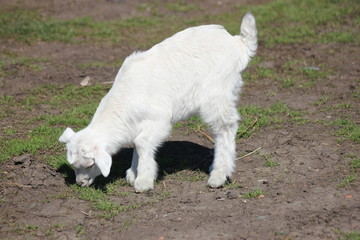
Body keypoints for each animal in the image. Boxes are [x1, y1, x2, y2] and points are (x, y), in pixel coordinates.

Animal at [58, 13, 256, 192]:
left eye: (90, 164)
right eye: (73, 165)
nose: (80, 183)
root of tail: (238, 43)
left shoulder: (159, 120)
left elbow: (141, 142)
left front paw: (143, 181)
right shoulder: (137, 123)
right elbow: (137, 143)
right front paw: (133, 173)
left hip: (217, 93)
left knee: (225, 127)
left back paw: (218, 175)